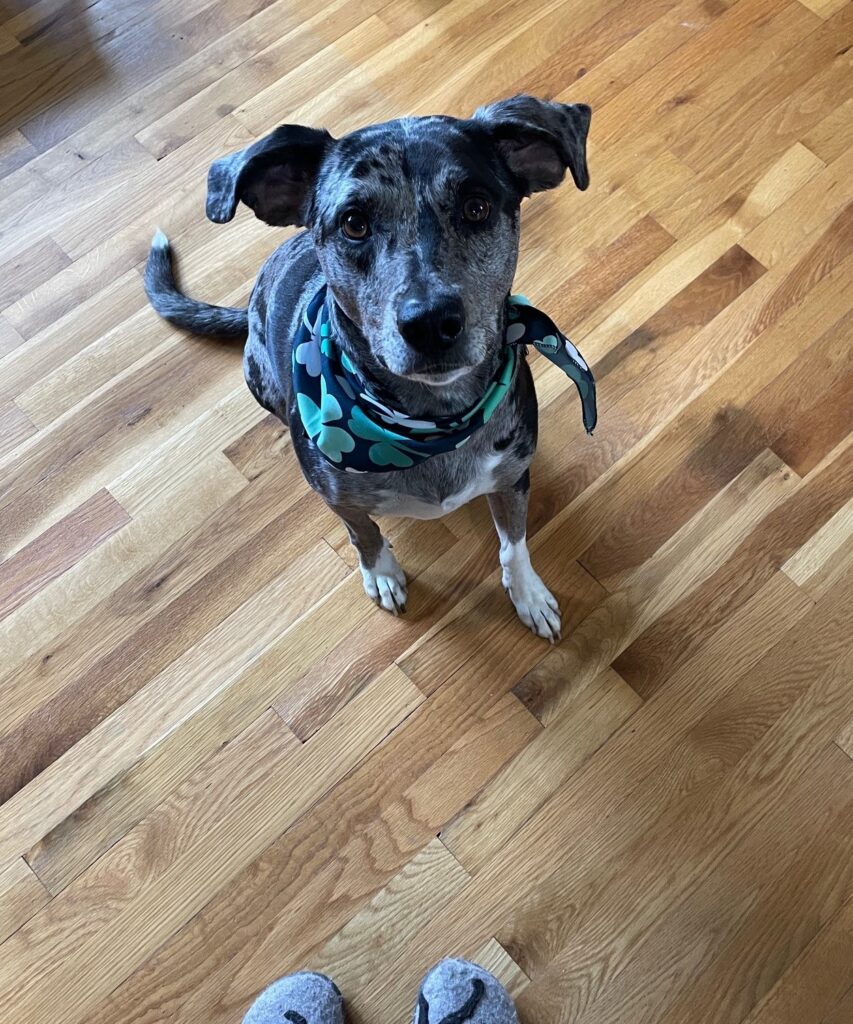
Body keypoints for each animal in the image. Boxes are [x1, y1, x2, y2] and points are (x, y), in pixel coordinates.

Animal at [143, 96, 589, 638]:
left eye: (477, 207)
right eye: (354, 222)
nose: (430, 322)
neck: (433, 420)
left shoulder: (512, 477)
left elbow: (514, 542)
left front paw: (527, 592)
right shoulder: (340, 498)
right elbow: (364, 533)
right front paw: (382, 573)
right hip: (258, 378)